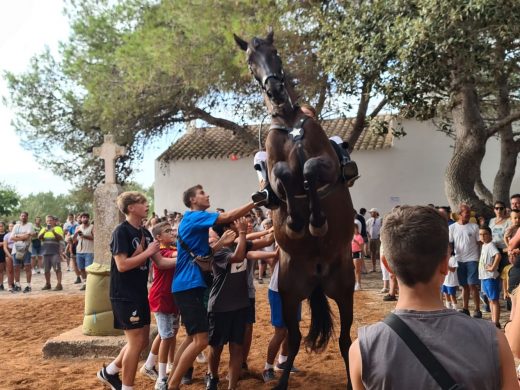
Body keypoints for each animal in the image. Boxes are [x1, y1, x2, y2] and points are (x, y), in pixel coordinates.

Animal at [234, 28, 356, 390]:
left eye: (275, 54)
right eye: (250, 62)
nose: (275, 90)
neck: (290, 124)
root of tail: (317, 276)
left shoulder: (327, 163)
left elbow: (310, 169)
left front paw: (314, 220)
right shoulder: (275, 178)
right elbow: (285, 175)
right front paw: (295, 220)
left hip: (344, 289)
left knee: (345, 339)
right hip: (290, 294)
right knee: (294, 337)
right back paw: (282, 381)